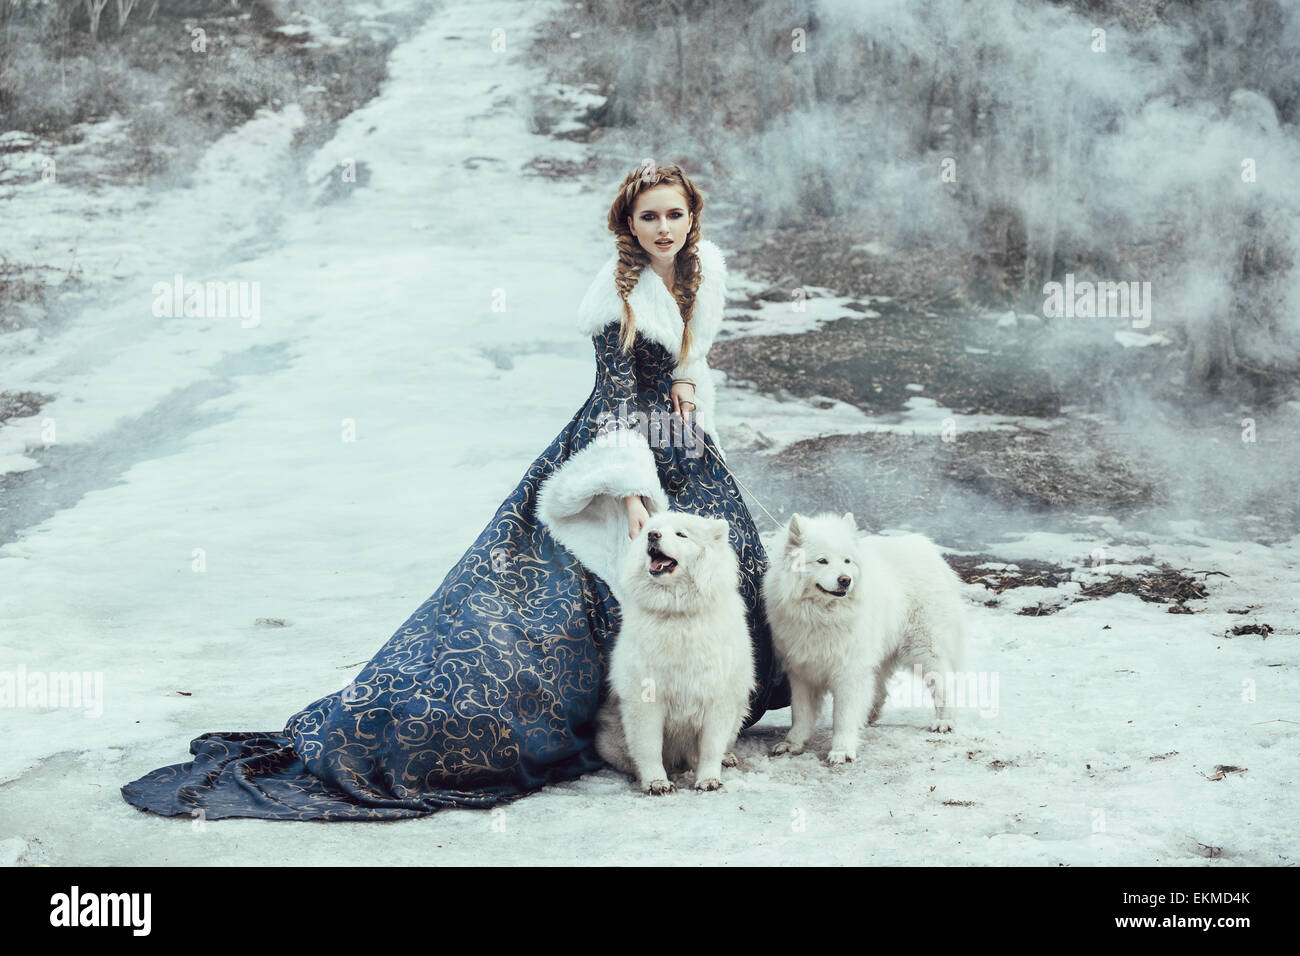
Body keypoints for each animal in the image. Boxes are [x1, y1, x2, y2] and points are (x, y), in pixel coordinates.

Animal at [595, 512, 759, 796]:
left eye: (681, 534)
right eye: (652, 530)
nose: (652, 536)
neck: (678, 612)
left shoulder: (717, 697)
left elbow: (710, 747)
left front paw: (708, 779)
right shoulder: (647, 698)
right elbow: (649, 748)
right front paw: (656, 782)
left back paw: (725, 758)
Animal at [759, 512, 967, 764]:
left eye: (847, 561)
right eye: (822, 561)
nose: (845, 580)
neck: (823, 616)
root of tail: (926, 547)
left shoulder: (849, 671)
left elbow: (843, 716)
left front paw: (841, 750)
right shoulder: (802, 671)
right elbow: (800, 713)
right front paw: (793, 743)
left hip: (924, 649)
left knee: (943, 683)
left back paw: (944, 721)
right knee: (880, 689)